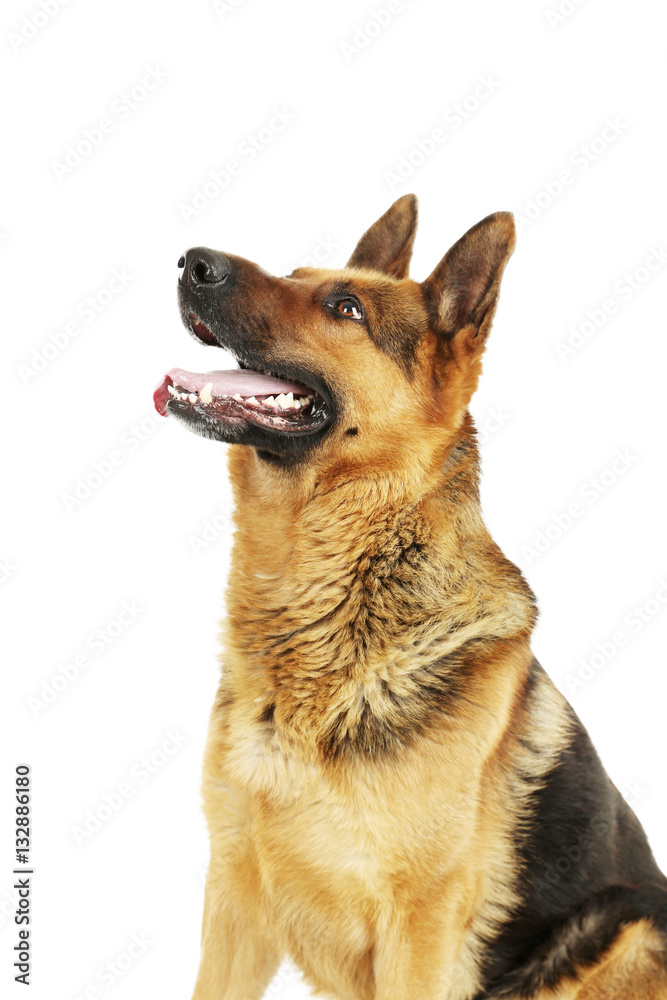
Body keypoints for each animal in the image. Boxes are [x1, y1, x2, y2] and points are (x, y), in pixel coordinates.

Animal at [153, 197, 667, 1000]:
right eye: (295, 274)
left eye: (346, 308)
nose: (191, 261)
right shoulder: (233, 897)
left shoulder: (417, 929)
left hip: (628, 930)